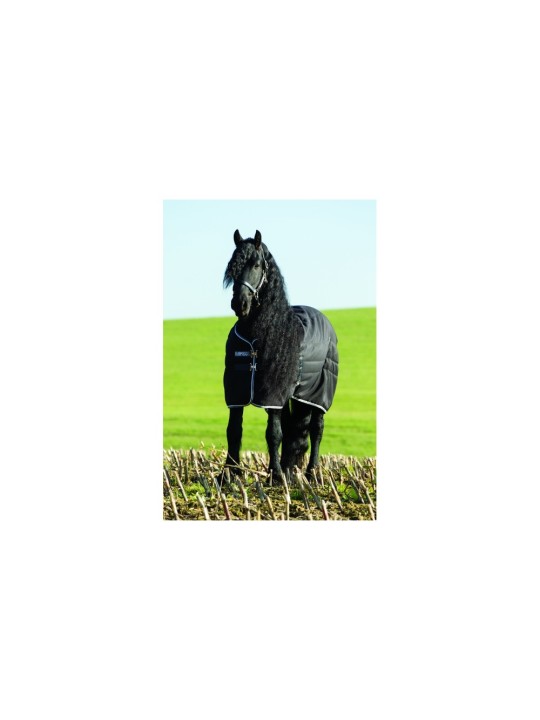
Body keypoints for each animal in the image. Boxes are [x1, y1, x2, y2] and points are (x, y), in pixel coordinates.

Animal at [223, 229, 339, 480]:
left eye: (257, 265)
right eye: (232, 266)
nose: (239, 304)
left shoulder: (272, 393)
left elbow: (273, 433)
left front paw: (274, 476)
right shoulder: (237, 390)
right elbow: (233, 430)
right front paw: (228, 475)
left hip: (320, 394)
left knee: (316, 430)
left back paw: (311, 473)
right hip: (296, 395)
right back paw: (289, 469)